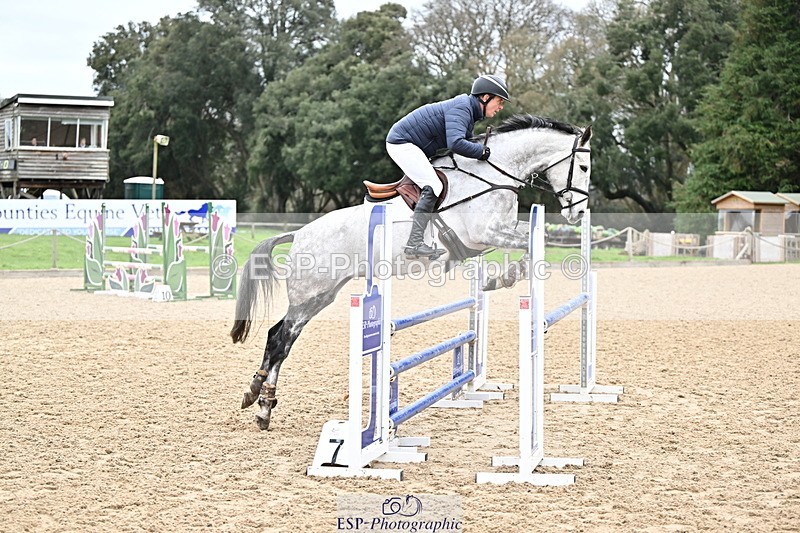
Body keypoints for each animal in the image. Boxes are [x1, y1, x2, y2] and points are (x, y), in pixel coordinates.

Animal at [231, 114, 592, 430]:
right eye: (584, 167)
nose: (579, 213)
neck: (492, 176)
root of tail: (299, 234)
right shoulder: (486, 232)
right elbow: (531, 240)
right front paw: (505, 276)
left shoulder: (488, 238)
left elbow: (528, 241)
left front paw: (500, 276)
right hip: (310, 292)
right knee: (281, 341)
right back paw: (264, 407)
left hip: (320, 296)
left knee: (277, 336)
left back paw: (254, 393)